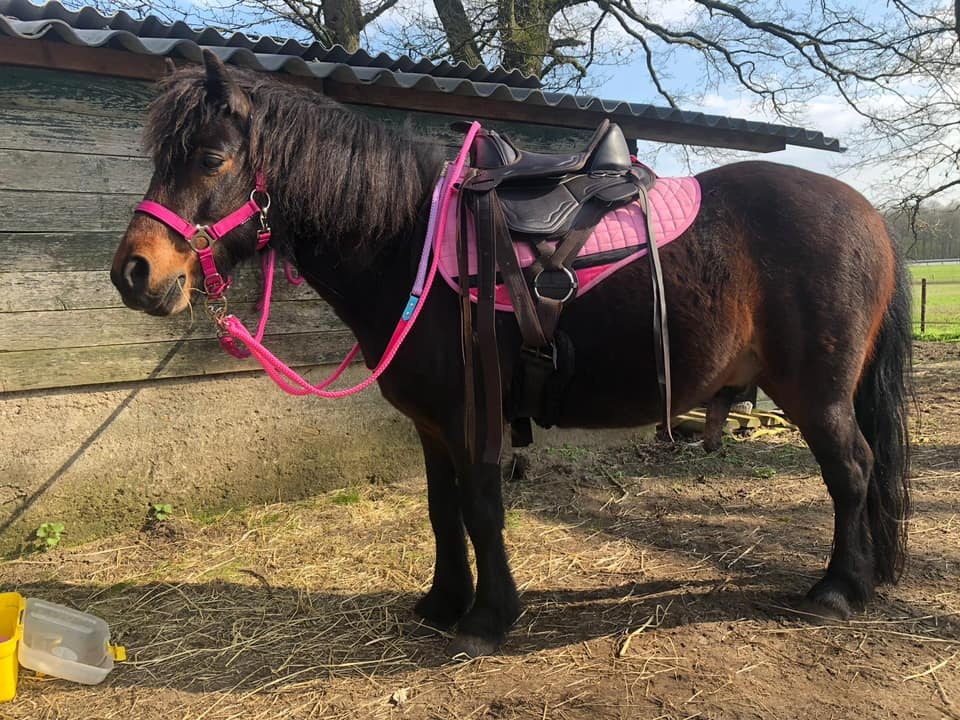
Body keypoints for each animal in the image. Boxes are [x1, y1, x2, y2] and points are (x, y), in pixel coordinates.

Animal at [111, 51, 913, 658]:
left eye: (211, 157)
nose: (133, 273)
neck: (408, 244)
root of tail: (870, 213)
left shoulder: (475, 415)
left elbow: (482, 507)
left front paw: (489, 618)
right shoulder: (431, 424)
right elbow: (442, 511)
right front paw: (442, 602)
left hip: (817, 395)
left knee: (852, 471)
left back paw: (837, 591)